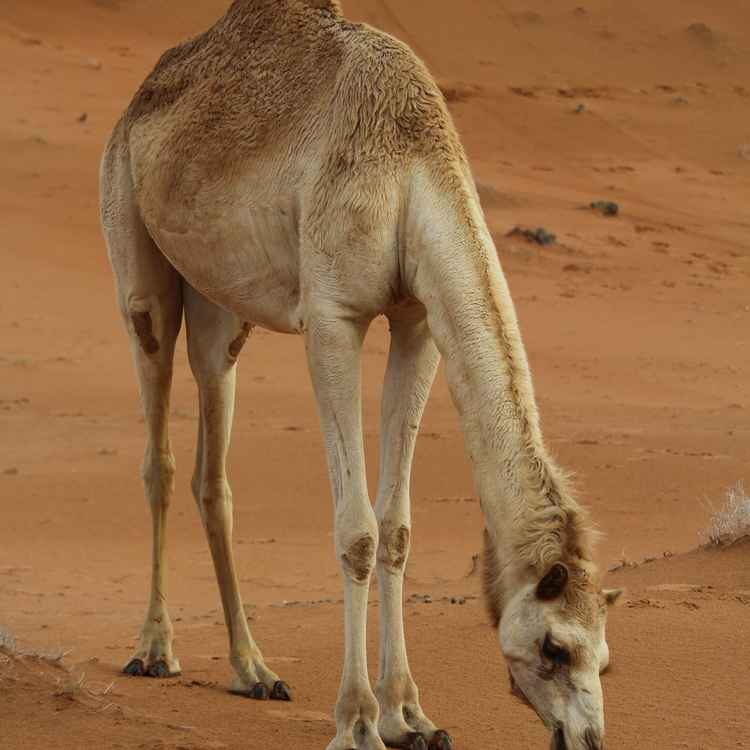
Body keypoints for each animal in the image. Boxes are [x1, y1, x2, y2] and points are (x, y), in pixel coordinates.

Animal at [99, 2, 622, 749]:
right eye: (554, 647)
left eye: (604, 657)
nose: (587, 738)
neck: (410, 171)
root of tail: (141, 97)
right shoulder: (333, 317)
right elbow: (358, 533)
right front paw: (357, 722)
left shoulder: (418, 319)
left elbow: (396, 530)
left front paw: (411, 716)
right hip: (134, 254)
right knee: (158, 450)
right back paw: (153, 649)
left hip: (221, 311)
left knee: (212, 460)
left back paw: (253, 669)